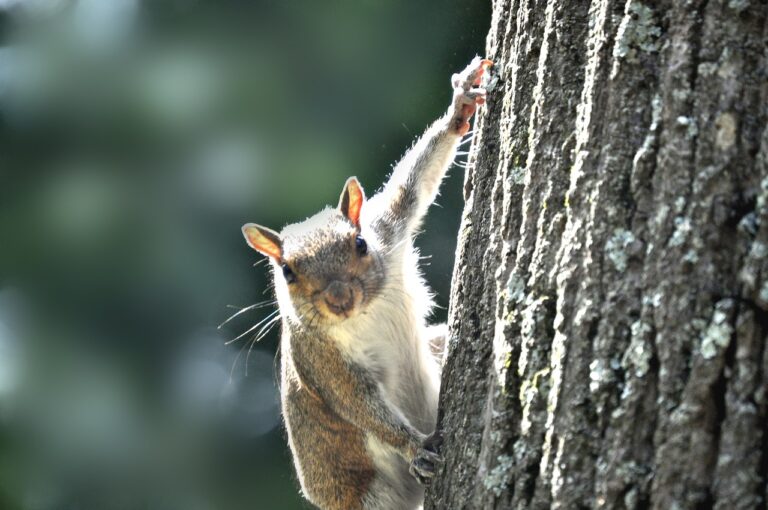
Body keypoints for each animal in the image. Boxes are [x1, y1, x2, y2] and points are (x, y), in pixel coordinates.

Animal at [242, 57, 492, 510]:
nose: (340, 298)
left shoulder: (387, 228)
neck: (364, 313)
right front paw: (417, 448)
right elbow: (360, 406)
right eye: (287, 272)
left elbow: (412, 186)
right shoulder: (321, 362)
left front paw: (460, 106)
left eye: (359, 243)